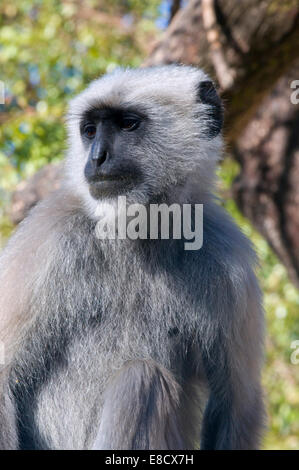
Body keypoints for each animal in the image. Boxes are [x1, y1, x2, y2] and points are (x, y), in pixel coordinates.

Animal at [0, 64, 268, 450]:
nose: (96, 158)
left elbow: (235, 403)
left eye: (128, 124)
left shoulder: (226, 255)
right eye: (90, 131)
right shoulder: (49, 236)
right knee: (143, 378)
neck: (139, 235)